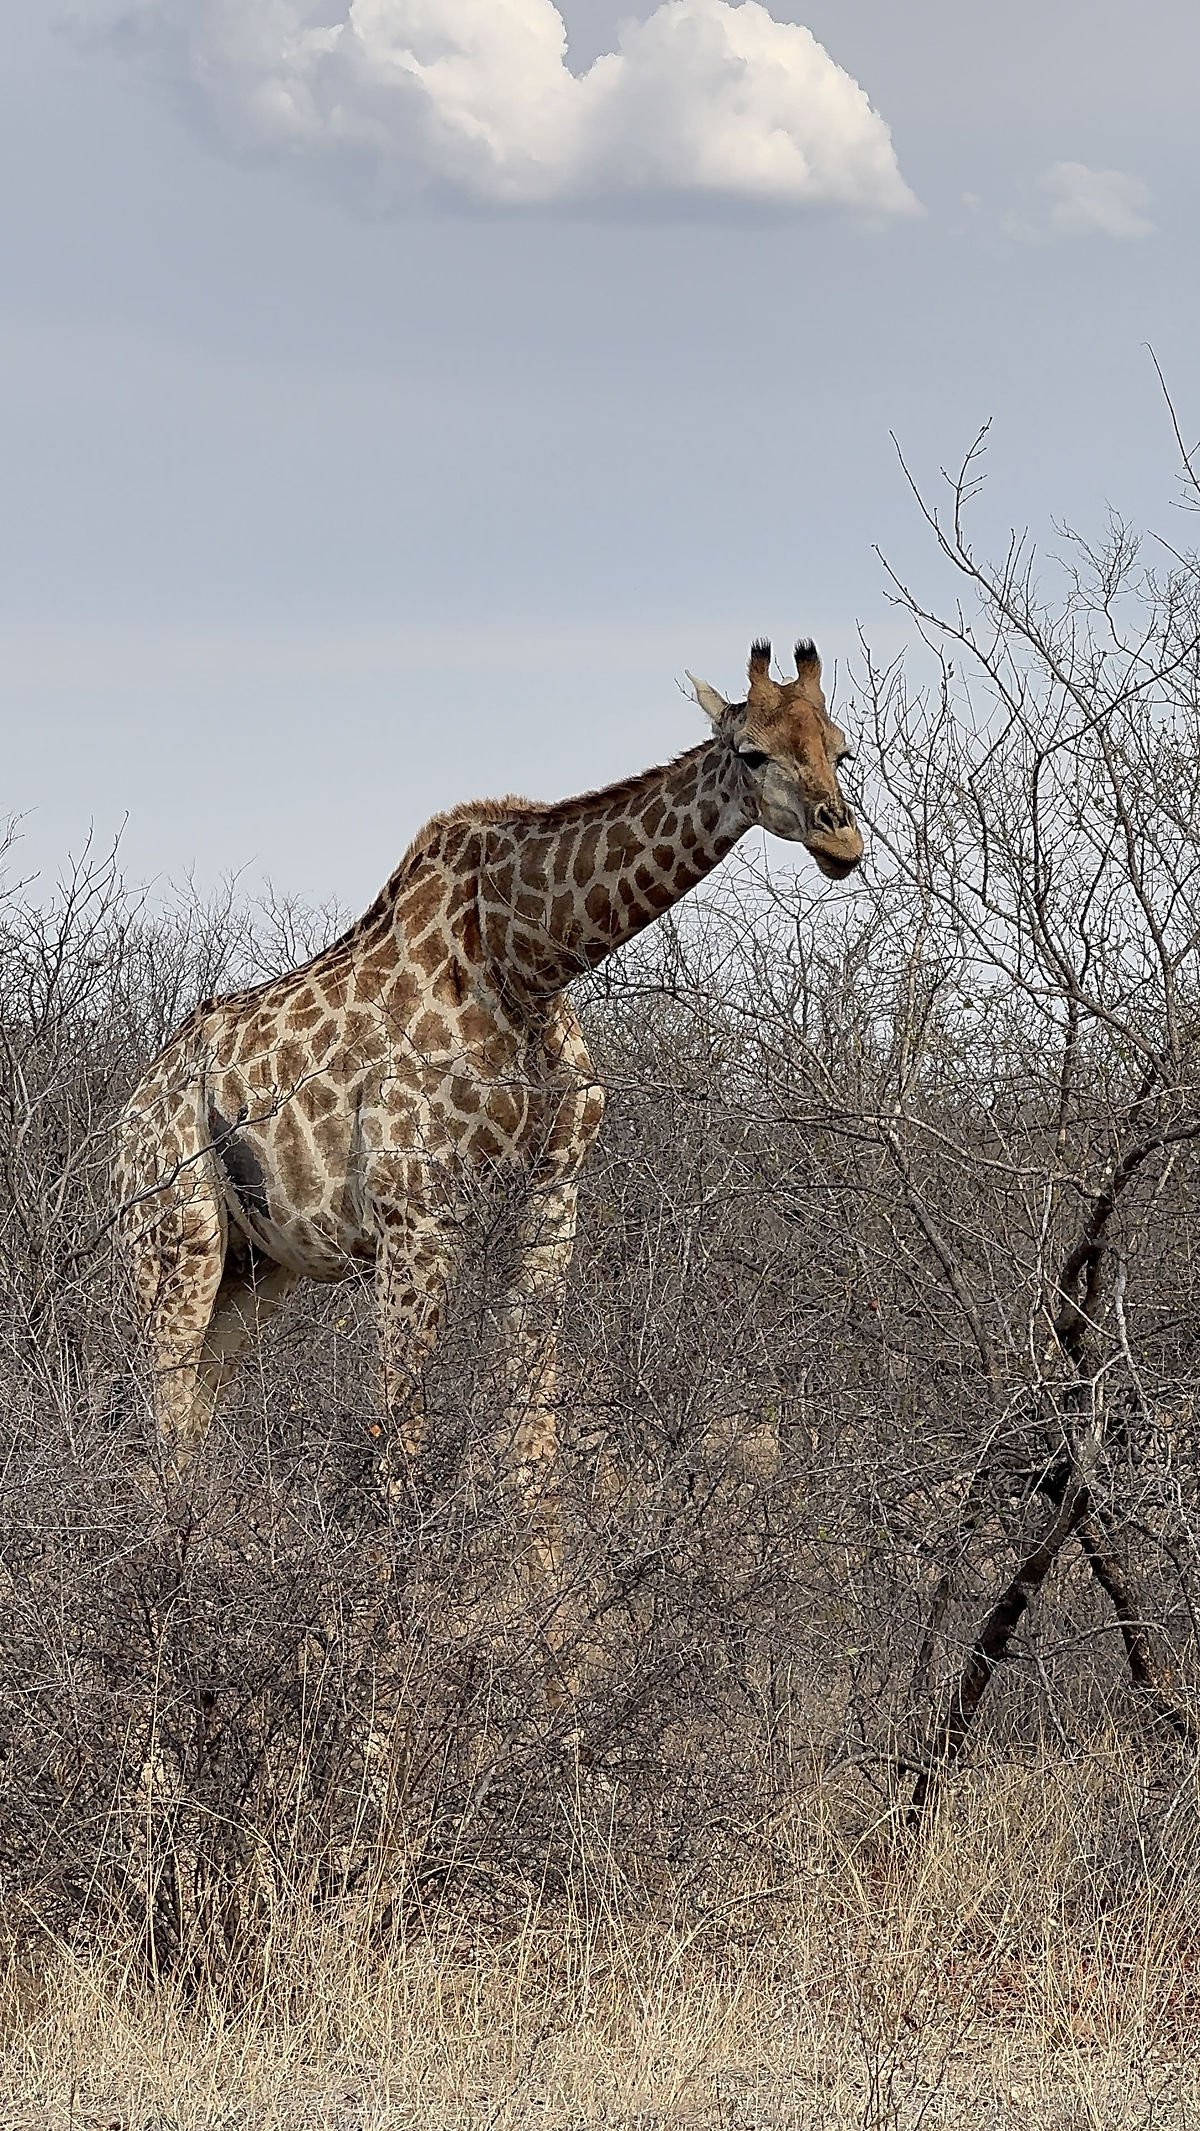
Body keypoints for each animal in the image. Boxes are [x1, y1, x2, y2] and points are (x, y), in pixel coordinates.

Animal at [115, 638, 862, 1559]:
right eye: (751, 751)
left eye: (842, 748)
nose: (842, 836)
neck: (529, 962)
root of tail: (131, 1106)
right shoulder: (415, 1218)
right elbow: (400, 1427)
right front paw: (391, 1578)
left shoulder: (552, 1195)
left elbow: (532, 1418)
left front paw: (535, 1570)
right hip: (172, 1236)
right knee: (164, 1395)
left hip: (259, 1266)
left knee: (194, 1404)